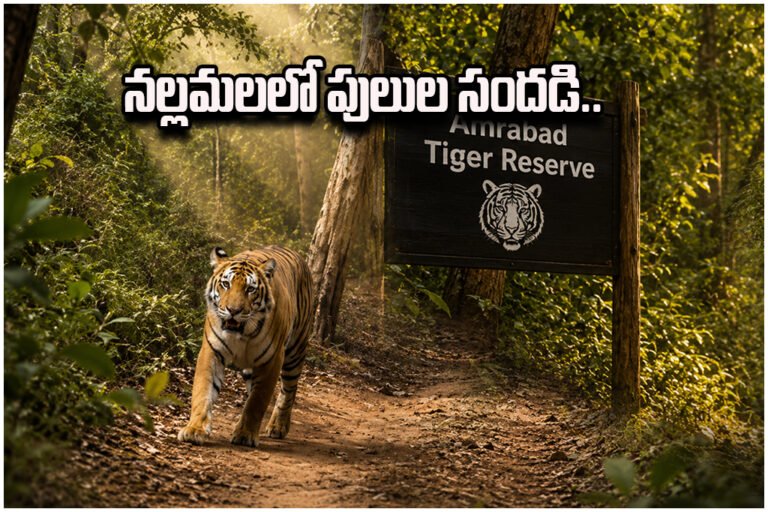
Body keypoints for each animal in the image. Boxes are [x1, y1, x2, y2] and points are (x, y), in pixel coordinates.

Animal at [177, 245, 314, 447]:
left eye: (250, 289)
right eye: (226, 284)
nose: (233, 311)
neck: (241, 335)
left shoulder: (272, 360)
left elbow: (257, 401)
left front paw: (245, 434)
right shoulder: (211, 352)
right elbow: (203, 392)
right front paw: (195, 430)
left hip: (295, 352)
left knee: (288, 390)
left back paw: (278, 427)